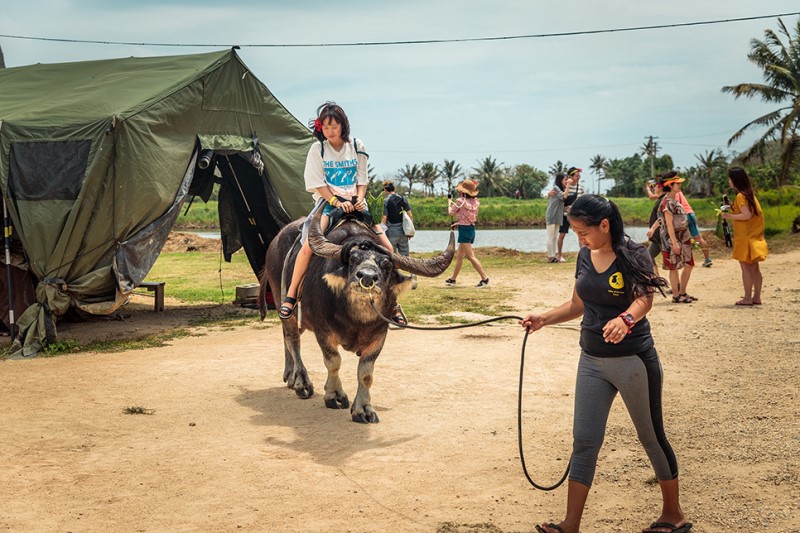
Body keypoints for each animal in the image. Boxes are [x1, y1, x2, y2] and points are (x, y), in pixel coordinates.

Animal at [260, 210, 454, 422]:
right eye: (352, 259)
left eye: (386, 265)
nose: (367, 277)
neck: (356, 320)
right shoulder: (323, 330)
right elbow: (333, 362)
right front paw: (335, 396)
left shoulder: (380, 334)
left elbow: (366, 373)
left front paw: (363, 409)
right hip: (283, 303)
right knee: (292, 339)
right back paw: (301, 383)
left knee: (287, 338)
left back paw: (290, 375)